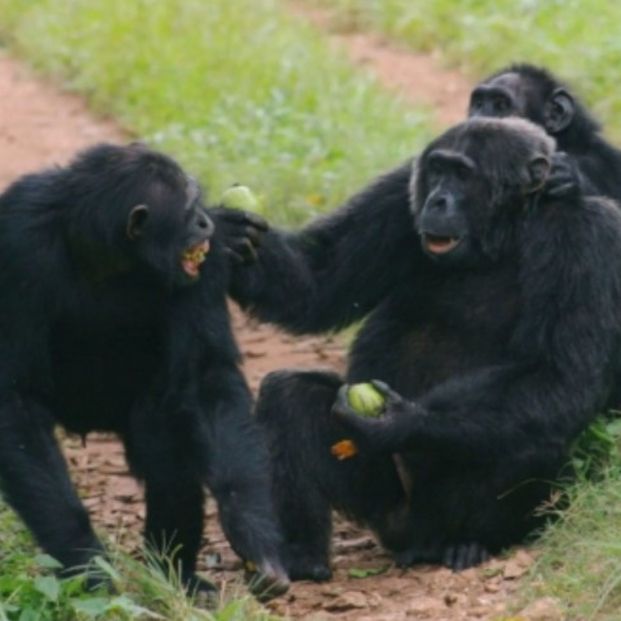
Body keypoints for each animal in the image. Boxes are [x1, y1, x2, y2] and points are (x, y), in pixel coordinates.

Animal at [0, 143, 290, 600]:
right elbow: (16, 398)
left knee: (164, 431)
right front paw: (87, 564)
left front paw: (255, 537)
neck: (108, 252)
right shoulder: (18, 241)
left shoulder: (205, 264)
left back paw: (177, 574)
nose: (206, 220)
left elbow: (206, 376)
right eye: (189, 208)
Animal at [220, 118, 620, 580]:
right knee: (289, 394)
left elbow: (557, 372)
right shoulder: (396, 197)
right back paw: (300, 557)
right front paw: (233, 235)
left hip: (446, 513)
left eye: (463, 174)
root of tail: (415, 537)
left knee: (530, 436)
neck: (506, 231)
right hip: (385, 509)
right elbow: (317, 280)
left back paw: (472, 544)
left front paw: (399, 421)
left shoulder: (588, 238)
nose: (438, 198)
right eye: (438, 169)